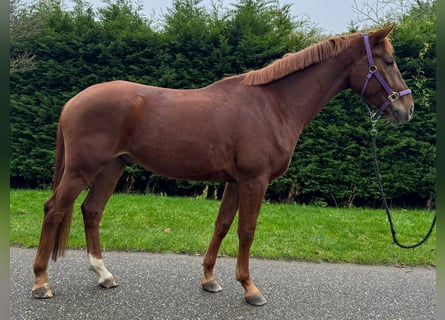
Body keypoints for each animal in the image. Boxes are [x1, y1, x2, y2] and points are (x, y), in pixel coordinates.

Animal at [31, 24, 412, 304]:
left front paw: (210, 279)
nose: (406, 110)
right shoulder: (255, 180)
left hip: (112, 167)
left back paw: (104, 274)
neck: (273, 105)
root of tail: (74, 101)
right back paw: (41, 282)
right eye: (389, 62)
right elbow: (247, 230)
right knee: (53, 209)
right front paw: (250, 289)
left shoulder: (234, 180)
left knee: (91, 210)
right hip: (81, 170)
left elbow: (223, 225)